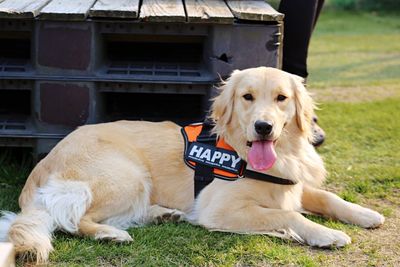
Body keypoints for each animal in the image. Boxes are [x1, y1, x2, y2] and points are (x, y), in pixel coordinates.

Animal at [0, 67, 382, 264]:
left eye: (282, 99)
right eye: (247, 97)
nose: (264, 127)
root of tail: (40, 169)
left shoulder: (293, 186)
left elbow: (327, 197)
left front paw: (365, 214)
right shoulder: (220, 208)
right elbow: (289, 215)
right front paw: (326, 234)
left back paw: (161, 215)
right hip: (127, 175)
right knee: (74, 220)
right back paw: (110, 233)